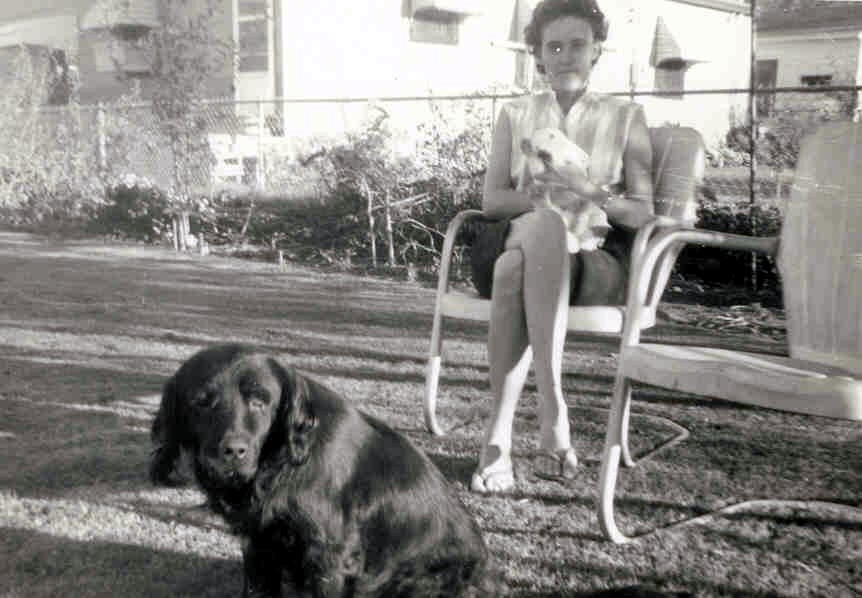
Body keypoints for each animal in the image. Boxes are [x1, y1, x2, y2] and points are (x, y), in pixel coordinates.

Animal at [150, 344, 487, 597]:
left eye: (260, 401)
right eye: (201, 402)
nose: (233, 451)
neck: (281, 464)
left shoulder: (328, 558)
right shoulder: (259, 543)